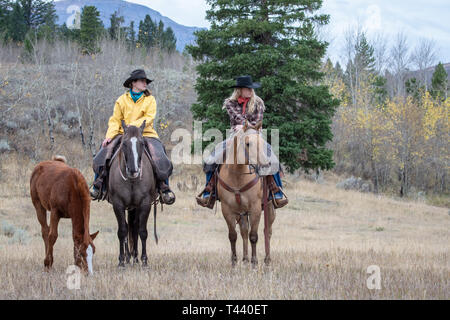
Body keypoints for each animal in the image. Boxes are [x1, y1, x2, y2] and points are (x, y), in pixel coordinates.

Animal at [107, 120, 158, 268]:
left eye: (142, 143)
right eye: (124, 143)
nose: (133, 170)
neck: (132, 180)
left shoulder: (145, 204)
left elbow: (142, 231)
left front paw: (144, 260)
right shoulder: (118, 204)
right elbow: (122, 231)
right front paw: (121, 261)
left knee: (135, 228)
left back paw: (135, 258)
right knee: (128, 228)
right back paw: (129, 258)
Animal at [216, 121, 276, 266]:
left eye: (262, 142)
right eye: (248, 143)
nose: (266, 165)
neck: (237, 176)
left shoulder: (255, 209)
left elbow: (253, 236)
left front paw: (254, 263)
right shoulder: (227, 210)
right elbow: (233, 236)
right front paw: (234, 262)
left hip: (269, 207)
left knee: (268, 231)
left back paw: (267, 260)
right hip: (242, 212)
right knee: (243, 231)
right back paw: (244, 259)